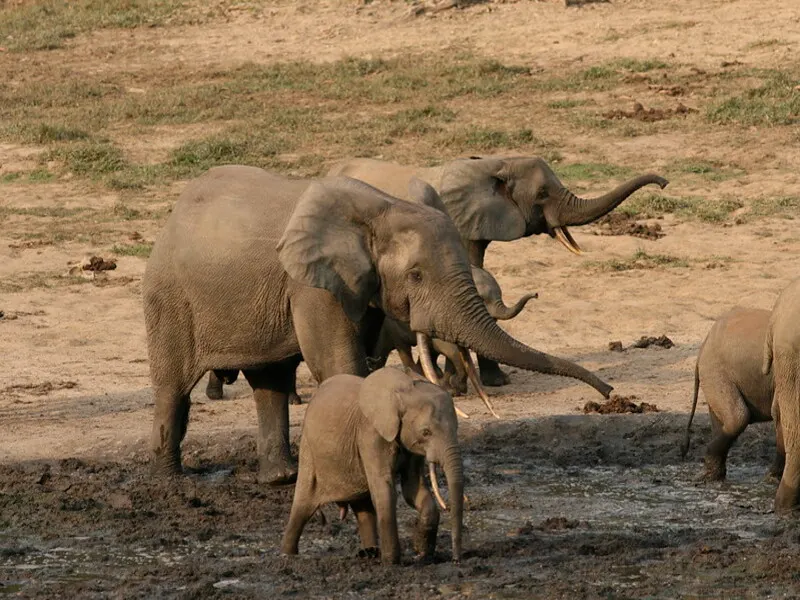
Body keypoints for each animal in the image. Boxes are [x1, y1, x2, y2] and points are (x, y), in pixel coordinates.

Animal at [144, 166, 612, 486]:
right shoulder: (311, 284)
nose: (609, 392)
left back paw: (282, 478)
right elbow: (338, 364)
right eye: (417, 275)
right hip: (169, 295)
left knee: (270, 383)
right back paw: (171, 480)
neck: (383, 209)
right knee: (173, 388)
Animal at [284, 368, 466, 564]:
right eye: (426, 432)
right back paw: (287, 554)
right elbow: (384, 488)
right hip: (308, 450)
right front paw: (392, 563)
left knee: (363, 508)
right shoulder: (371, 434)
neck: (405, 391)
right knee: (303, 505)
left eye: (456, 428)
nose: (456, 559)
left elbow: (413, 488)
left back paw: (369, 553)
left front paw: (423, 554)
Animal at [680, 308, 780, 480]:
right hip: (716, 372)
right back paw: (709, 475)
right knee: (737, 418)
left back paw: (713, 475)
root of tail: (704, 343)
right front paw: (772, 479)